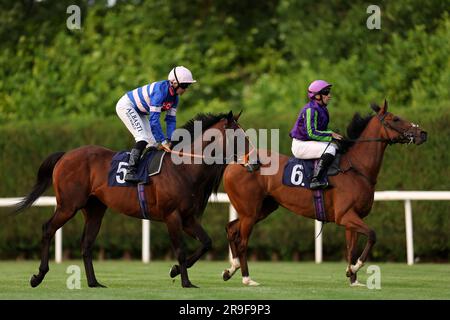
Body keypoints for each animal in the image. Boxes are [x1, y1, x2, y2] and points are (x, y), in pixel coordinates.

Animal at [14, 111, 246, 288]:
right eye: (239, 137)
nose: (252, 158)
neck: (184, 169)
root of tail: (65, 155)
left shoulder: (188, 217)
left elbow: (206, 242)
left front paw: (175, 271)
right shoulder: (172, 216)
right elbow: (180, 250)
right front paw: (186, 282)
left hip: (95, 209)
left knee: (86, 243)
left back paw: (93, 282)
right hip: (68, 205)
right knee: (48, 229)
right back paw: (38, 276)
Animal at [223, 101, 428, 286]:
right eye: (396, 118)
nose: (422, 134)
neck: (356, 168)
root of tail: (237, 163)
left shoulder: (352, 219)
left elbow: (351, 249)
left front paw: (353, 279)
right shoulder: (345, 216)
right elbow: (372, 235)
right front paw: (354, 268)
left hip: (261, 209)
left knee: (231, 228)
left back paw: (230, 269)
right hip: (250, 212)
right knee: (242, 242)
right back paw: (247, 278)